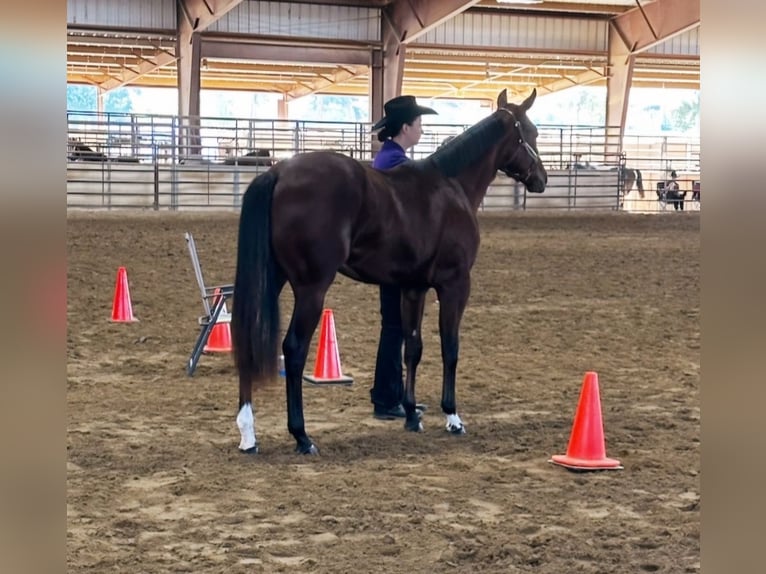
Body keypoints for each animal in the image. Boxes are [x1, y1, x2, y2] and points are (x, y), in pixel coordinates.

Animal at [231, 88, 548, 456]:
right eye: (532, 132)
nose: (542, 179)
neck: (451, 185)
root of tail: (279, 172)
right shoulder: (455, 284)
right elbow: (450, 348)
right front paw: (452, 416)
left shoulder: (413, 287)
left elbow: (412, 348)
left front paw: (411, 414)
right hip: (311, 288)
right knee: (294, 349)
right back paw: (302, 436)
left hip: (274, 279)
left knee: (248, 337)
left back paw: (248, 434)